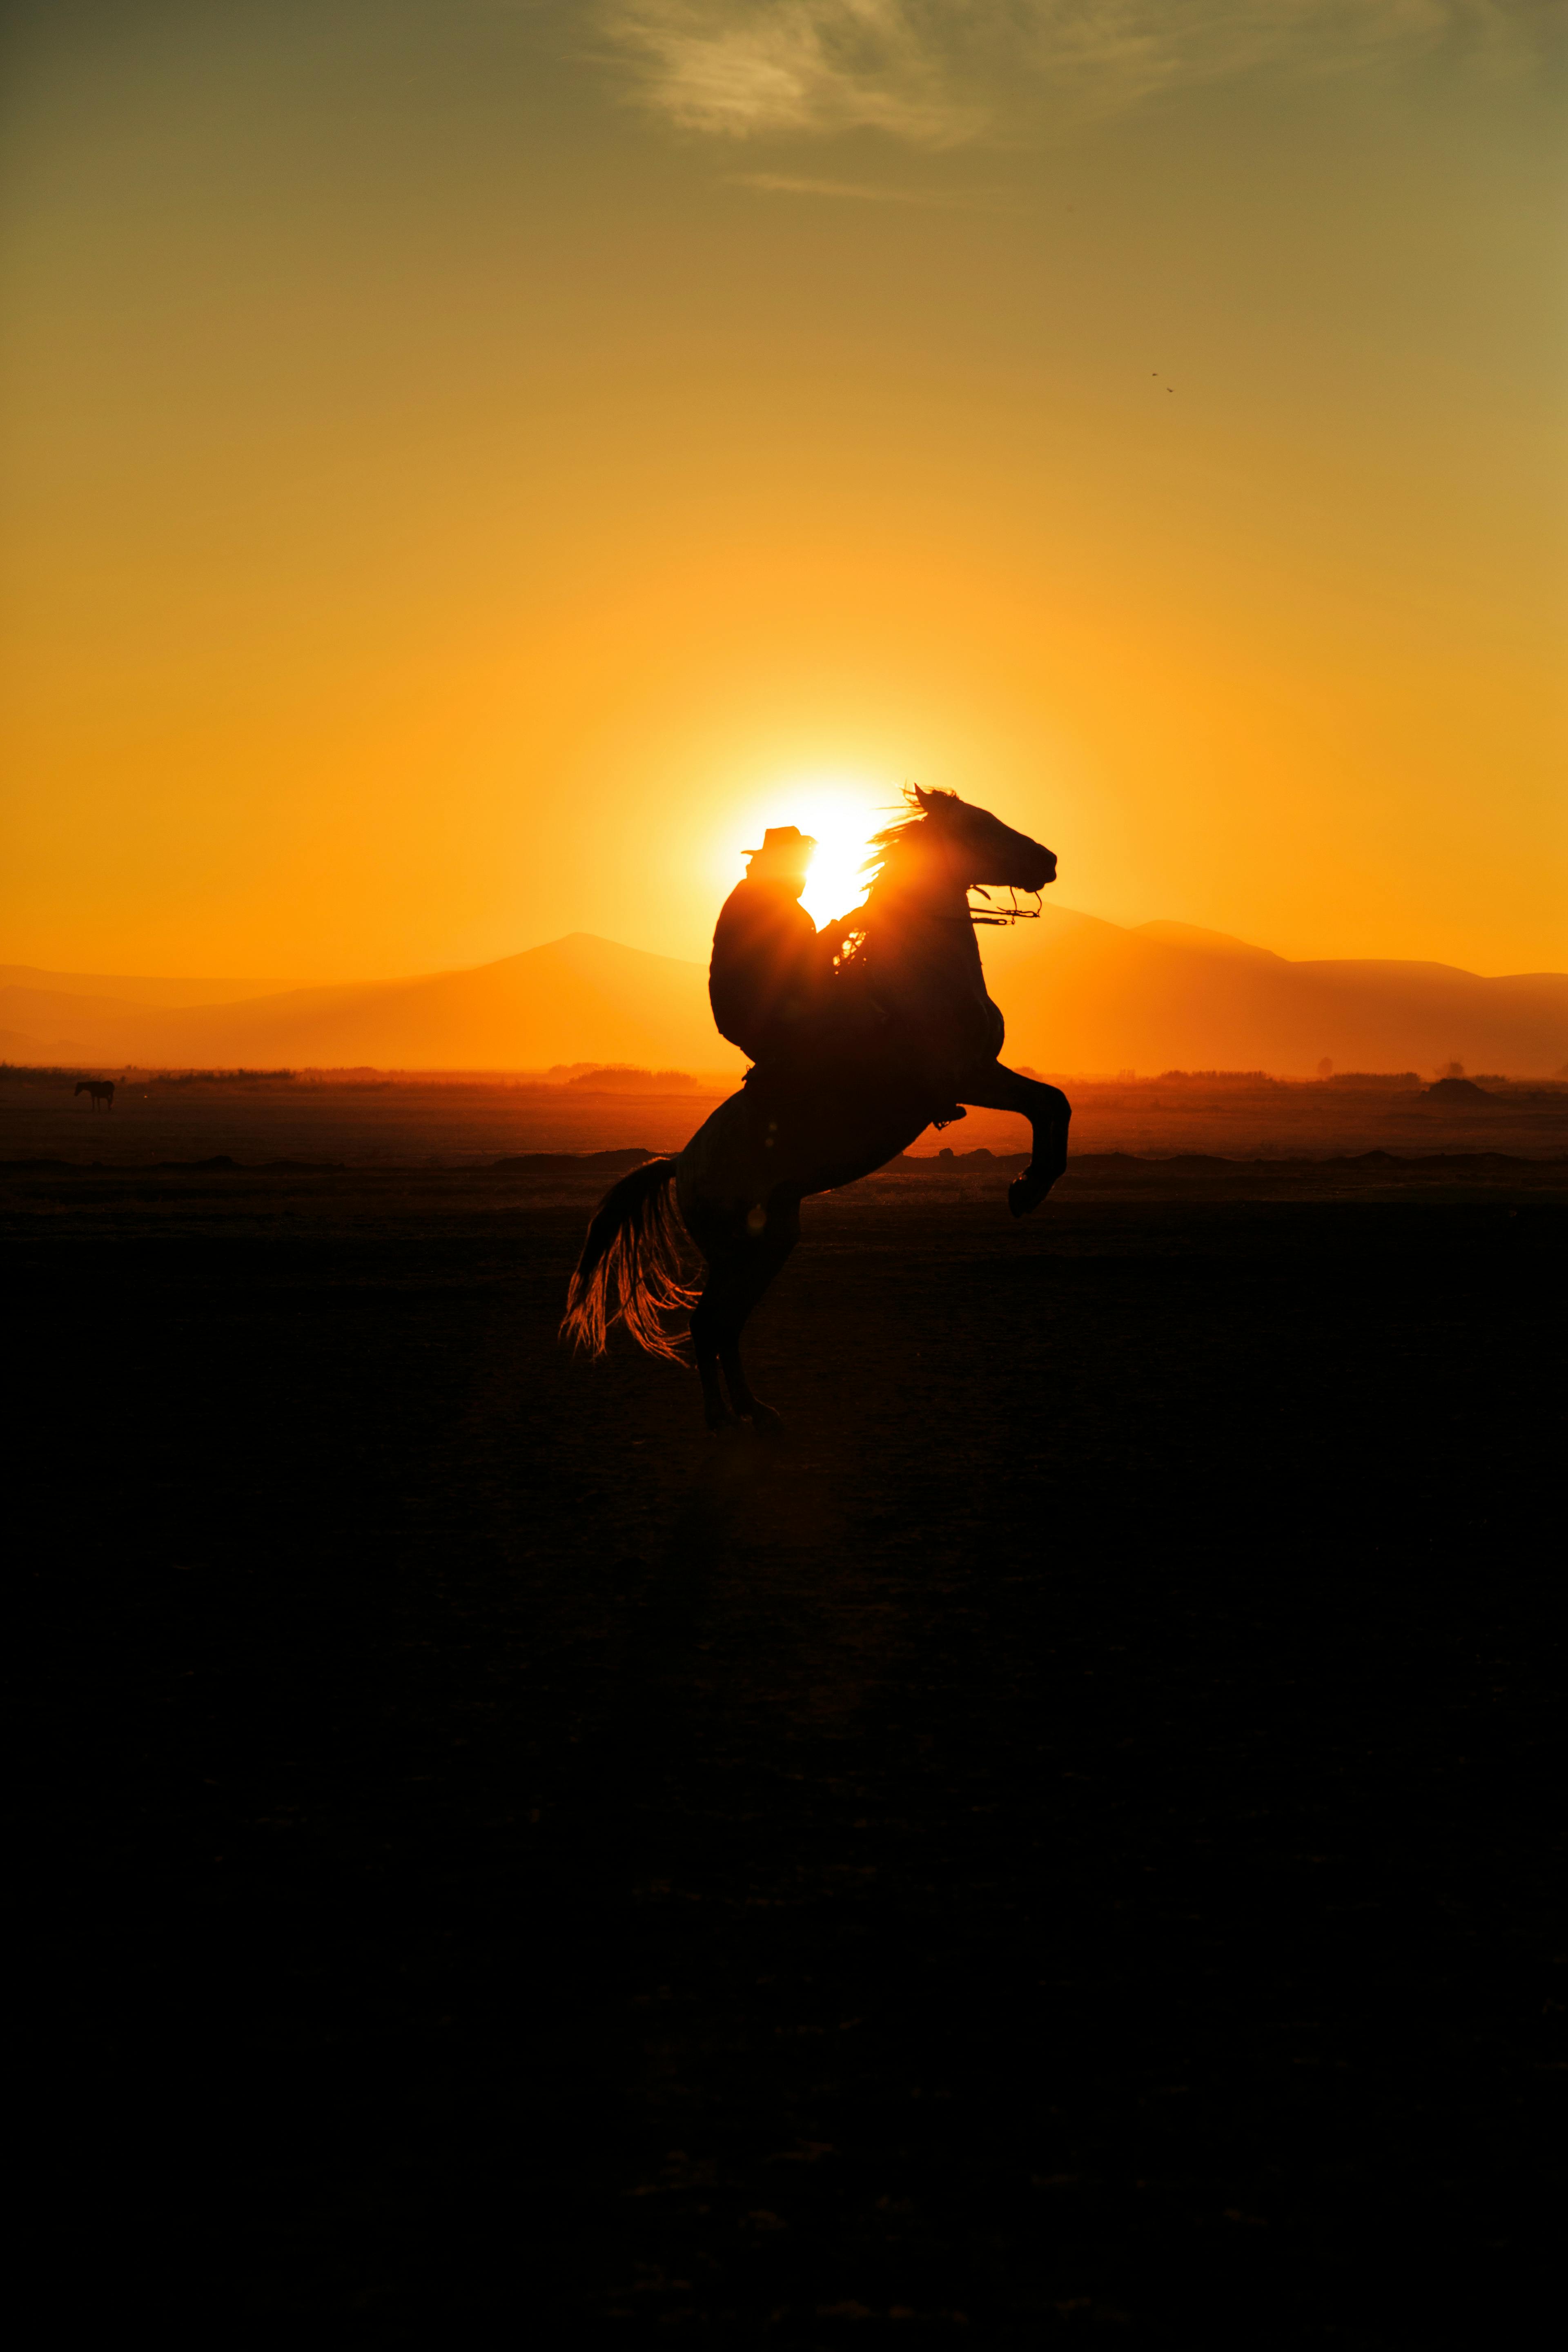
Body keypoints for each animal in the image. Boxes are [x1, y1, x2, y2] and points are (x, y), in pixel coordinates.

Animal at [561, 785, 1067, 1430]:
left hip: (771, 1241)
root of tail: (680, 1166)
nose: (1048, 861)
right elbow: (1049, 1105)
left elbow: (1053, 1103)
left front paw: (1030, 1186)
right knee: (708, 1323)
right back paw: (723, 1416)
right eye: (979, 825)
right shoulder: (965, 1076)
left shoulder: (986, 1072)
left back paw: (755, 1410)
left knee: (726, 1325)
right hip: (739, 1247)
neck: (920, 974)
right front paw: (1028, 1187)